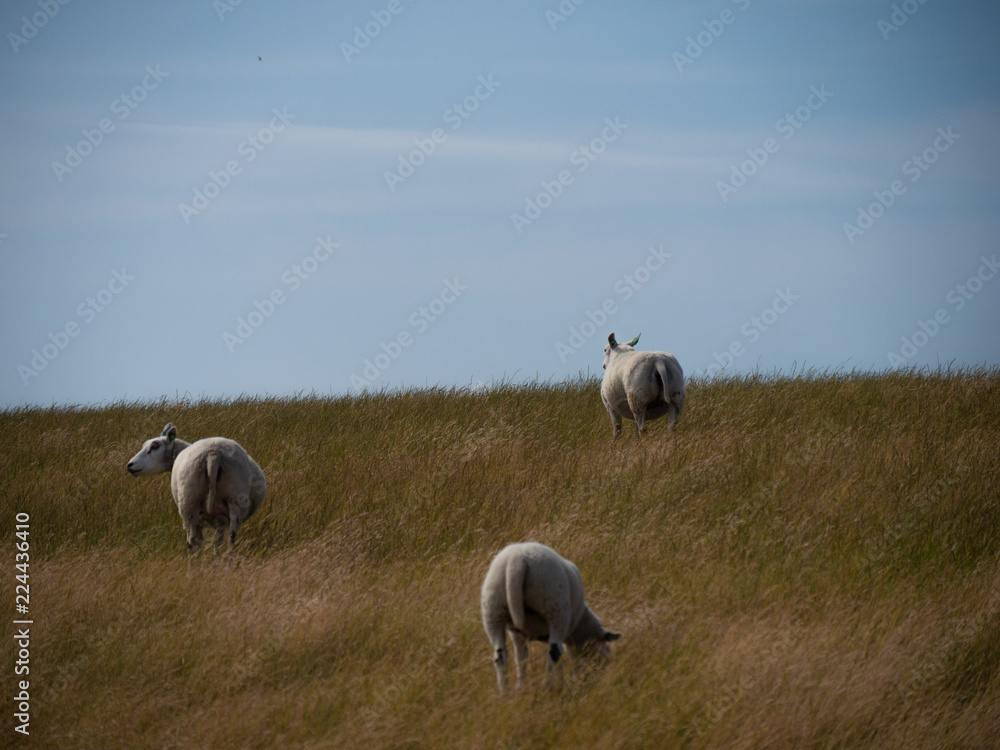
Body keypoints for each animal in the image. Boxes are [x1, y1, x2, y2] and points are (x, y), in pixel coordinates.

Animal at [126, 423, 266, 554]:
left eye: (155, 446)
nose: (130, 465)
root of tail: (213, 454)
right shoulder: (221, 518)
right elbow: (217, 541)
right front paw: (217, 559)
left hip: (189, 500)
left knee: (192, 540)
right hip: (236, 498)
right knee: (231, 538)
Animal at [481, 542, 620, 693]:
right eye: (602, 649)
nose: (599, 673)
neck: (581, 624)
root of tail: (517, 561)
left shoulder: (517, 635)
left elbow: (521, 657)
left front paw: (520, 685)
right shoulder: (570, 640)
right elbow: (570, 658)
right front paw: (569, 680)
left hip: (493, 609)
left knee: (500, 656)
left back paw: (505, 693)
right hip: (556, 608)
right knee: (554, 652)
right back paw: (547, 687)